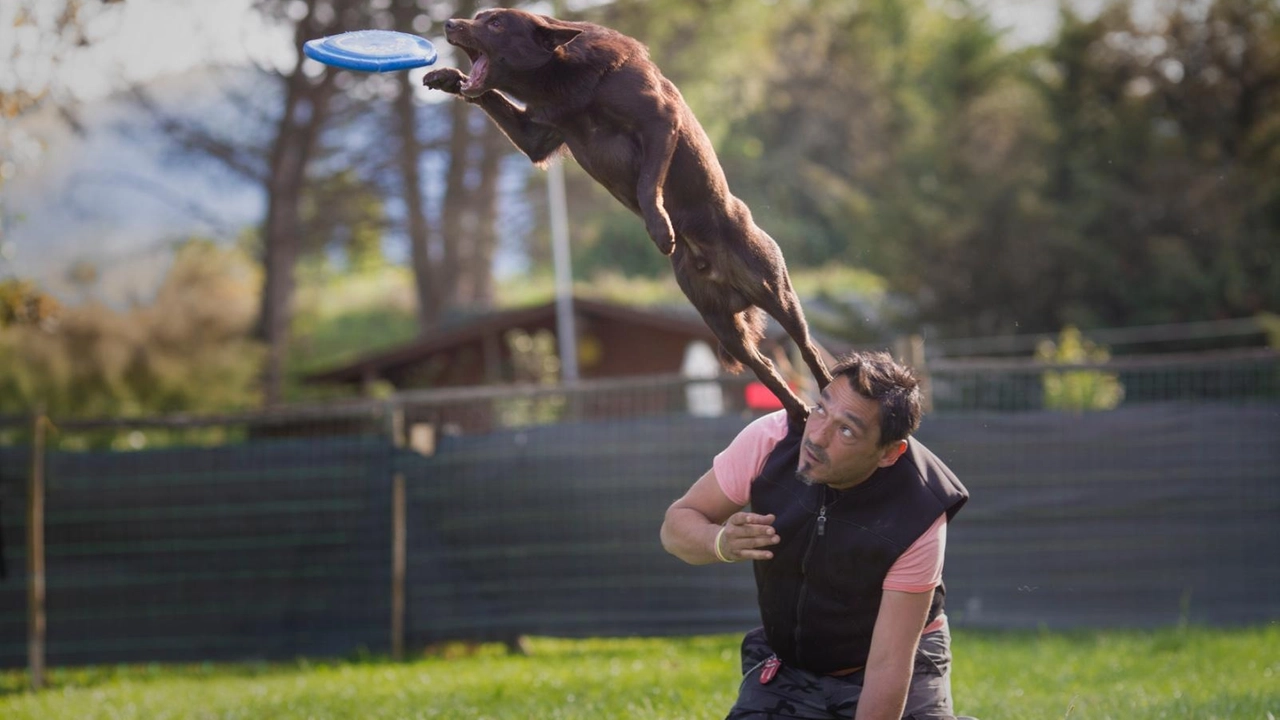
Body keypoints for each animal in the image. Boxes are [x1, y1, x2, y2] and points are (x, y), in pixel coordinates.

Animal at [424, 8, 834, 420]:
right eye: (478, 16)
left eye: (495, 23)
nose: (448, 24)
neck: (562, 79)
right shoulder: (537, 136)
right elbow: (490, 95)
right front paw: (446, 77)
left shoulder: (659, 121)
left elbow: (647, 184)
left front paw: (660, 228)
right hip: (721, 324)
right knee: (764, 367)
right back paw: (797, 415)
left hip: (777, 295)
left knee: (809, 351)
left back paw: (825, 398)